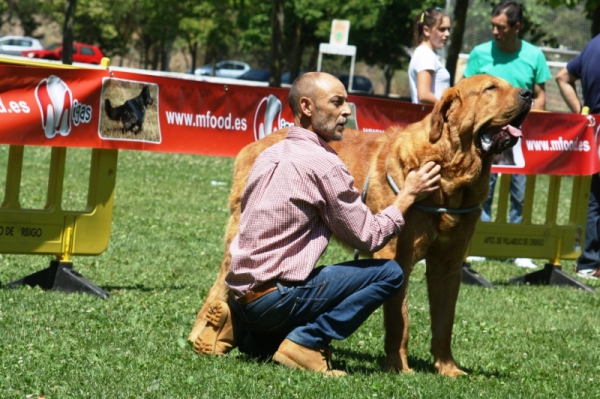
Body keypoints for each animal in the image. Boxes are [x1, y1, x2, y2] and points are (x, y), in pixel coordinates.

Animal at [190, 75, 532, 378]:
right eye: (490, 88)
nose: (528, 93)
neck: (452, 173)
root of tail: (256, 143)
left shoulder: (448, 266)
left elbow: (444, 322)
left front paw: (447, 369)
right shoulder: (395, 257)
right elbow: (399, 320)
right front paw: (399, 368)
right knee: (222, 285)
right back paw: (204, 336)